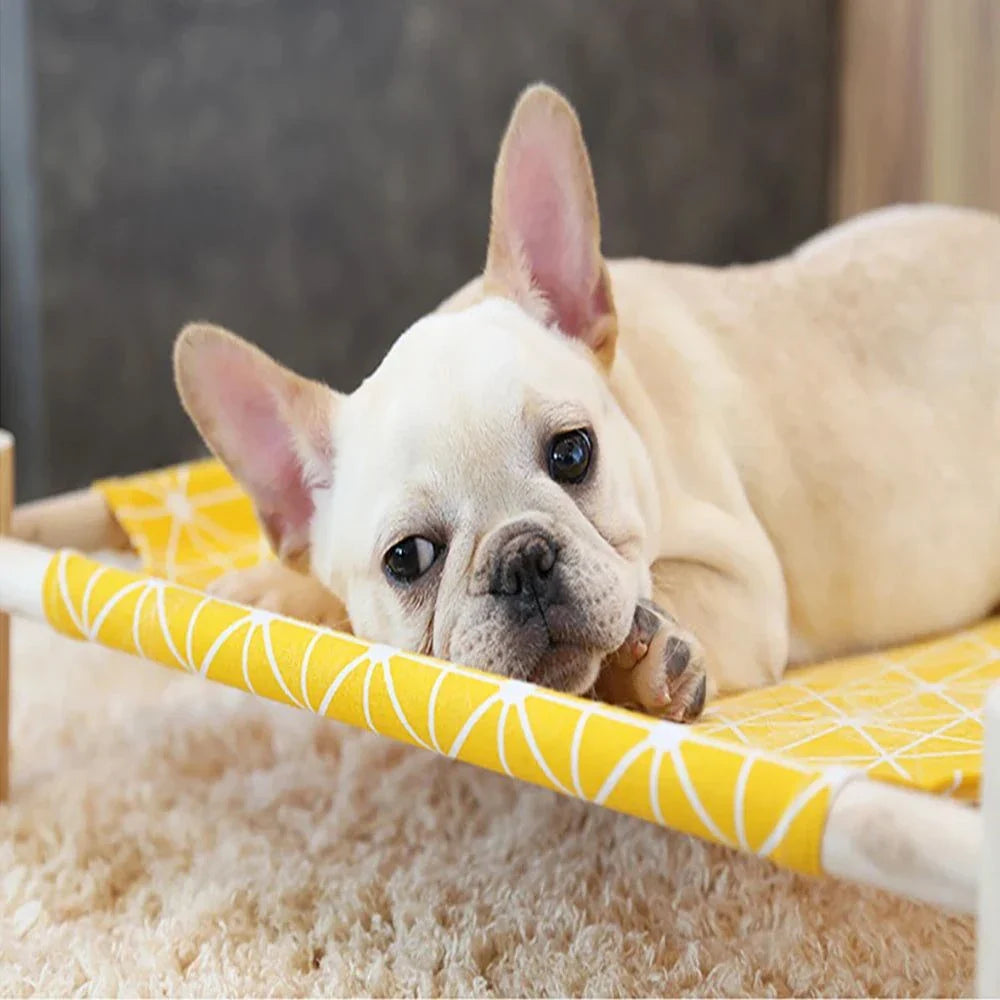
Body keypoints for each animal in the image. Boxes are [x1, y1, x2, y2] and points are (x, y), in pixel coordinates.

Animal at [176, 84, 1000, 720]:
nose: (523, 560)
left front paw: (640, 664)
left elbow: (662, 593)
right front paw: (268, 586)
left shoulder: (742, 582)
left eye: (573, 452)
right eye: (407, 559)